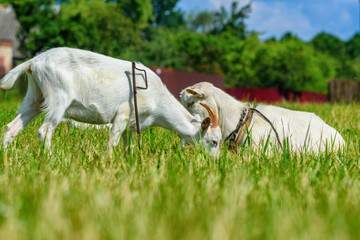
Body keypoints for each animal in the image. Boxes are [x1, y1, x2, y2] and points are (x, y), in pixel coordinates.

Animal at [0, 47, 222, 157]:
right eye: (214, 141)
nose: (215, 162)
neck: (157, 100)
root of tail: (33, 62)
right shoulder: (122, 115)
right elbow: (111, 142)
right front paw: (106, 162)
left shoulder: (131, 126)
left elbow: (127, 146)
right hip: (58, 97)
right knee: (45, 130)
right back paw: (50, 158)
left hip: (35, 96)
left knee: (12, 126)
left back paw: (6, 157)